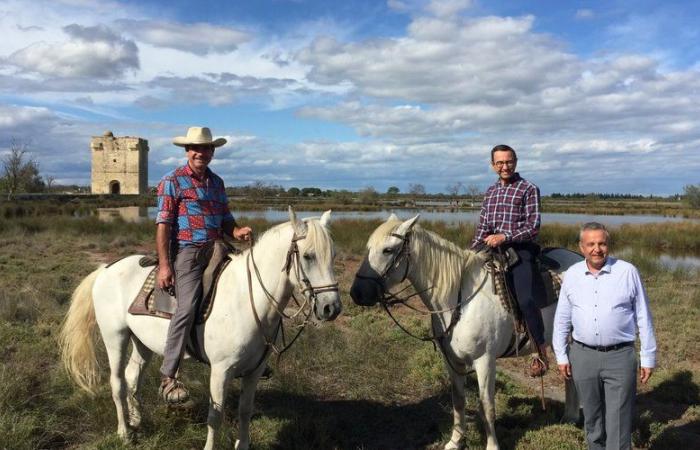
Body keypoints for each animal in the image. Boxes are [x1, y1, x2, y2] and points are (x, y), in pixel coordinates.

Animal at [61, 208, 340, 450]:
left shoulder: (254, 371)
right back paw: (125, 432)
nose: (331, 308)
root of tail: (105, 269)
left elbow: (245, 410)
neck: (245, 299)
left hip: (142, 342)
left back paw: (137, 420)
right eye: (308, 256)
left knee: (132, 377)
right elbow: (215, 415)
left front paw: (243, 444)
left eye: (333, 256)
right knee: (117, 383)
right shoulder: (220, 371)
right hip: (115, 337)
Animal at [350, 214, 580, 450]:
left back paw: (570, 417)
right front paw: (456, 441)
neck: (459, 300)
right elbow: (458, 401)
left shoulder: (485, 361)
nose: (357, 293)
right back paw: (569, 417)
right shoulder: (452, 361)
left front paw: (492, 446)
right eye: (369, 248)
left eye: (388, 250)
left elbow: (486, 406)